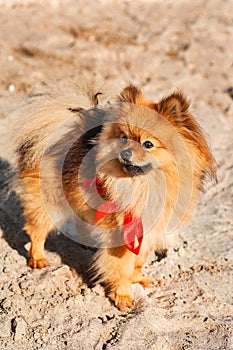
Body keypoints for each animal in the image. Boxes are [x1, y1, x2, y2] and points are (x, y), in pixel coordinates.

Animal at [11, 84, 217, 308]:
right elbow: (122, 267)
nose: (125, 153)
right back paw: (38, 259)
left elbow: (138, 262)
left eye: (148, 144)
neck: (145, 185)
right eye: (124, 138)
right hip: (51, 204)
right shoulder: (121, 234)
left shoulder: (148, 232)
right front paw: (123, 296)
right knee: (37, 231)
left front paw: (138, 279)